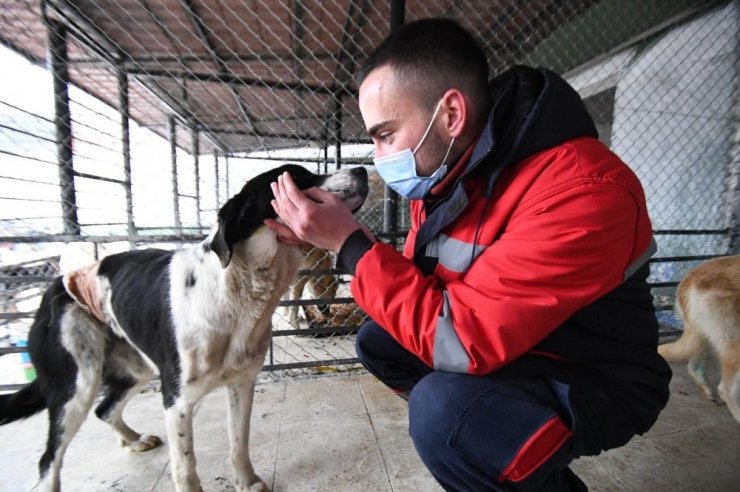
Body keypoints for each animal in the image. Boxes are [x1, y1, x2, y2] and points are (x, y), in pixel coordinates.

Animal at [0, 165, 368, 492]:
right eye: (300, 177)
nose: (363, 170)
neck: (236, 288)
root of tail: (55, 284)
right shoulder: (176, 400)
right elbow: (186, 466)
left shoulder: (242, 384)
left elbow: (239, 443)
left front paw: (246, 482)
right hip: (77, 384)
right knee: (49, 460)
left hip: (137, 368)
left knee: (105, 410)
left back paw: (134, 440)